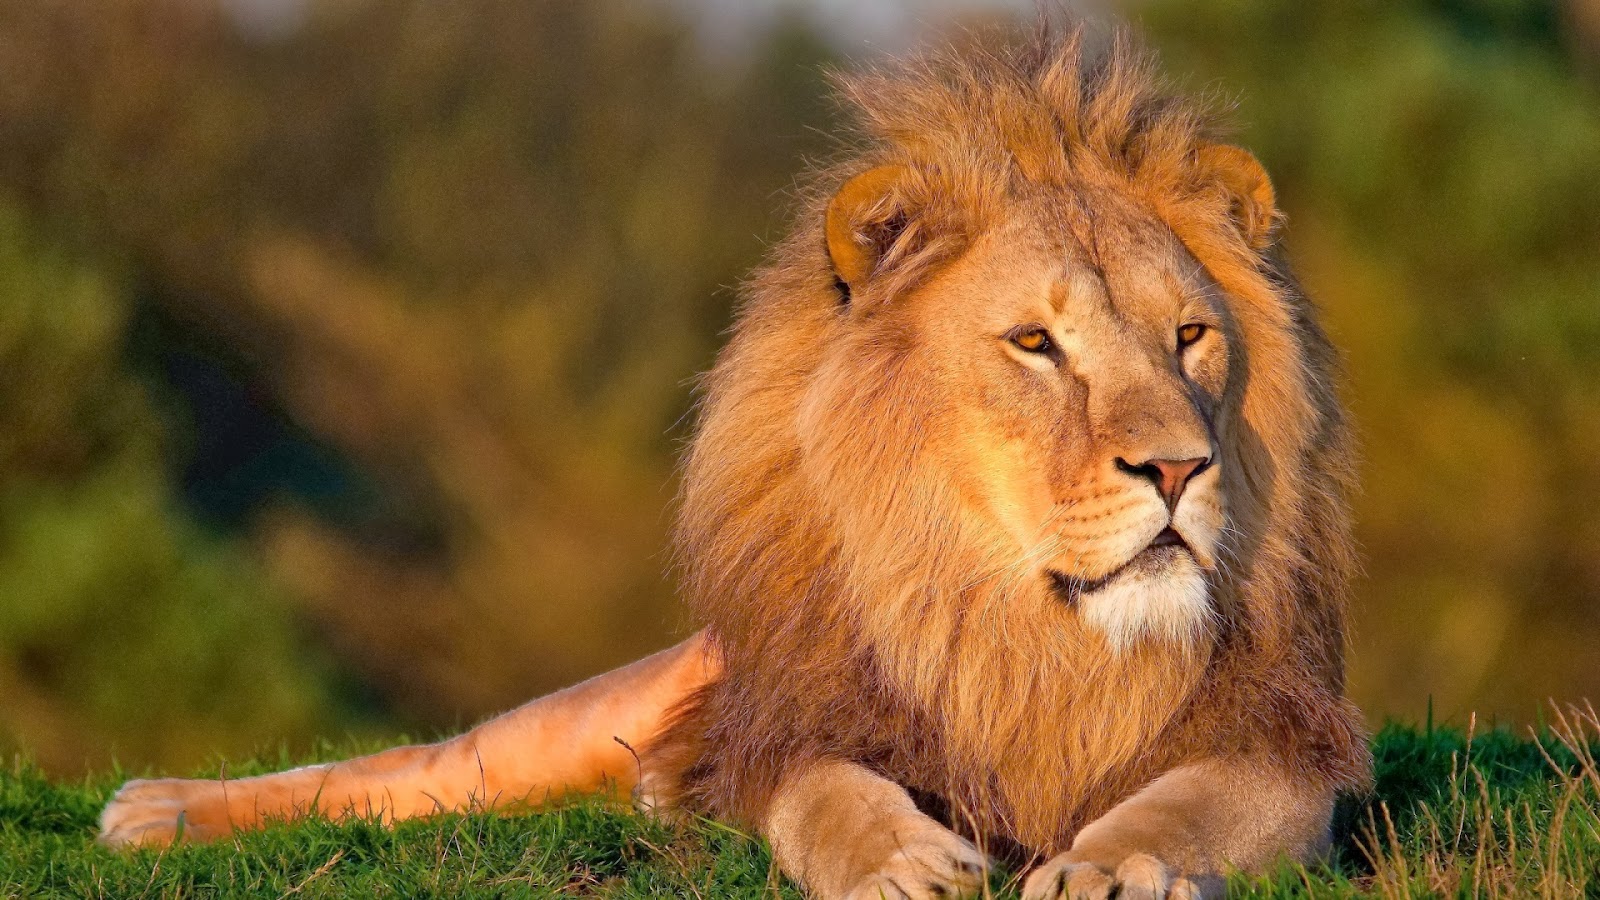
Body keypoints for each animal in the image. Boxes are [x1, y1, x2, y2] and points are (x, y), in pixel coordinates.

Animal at [103, 24, 1376, 890]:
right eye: (1035, 344)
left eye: (1189, 336)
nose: (1177, 469)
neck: (1022, 632)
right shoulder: (789, 729)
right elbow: (828, 796)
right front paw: (902, 862)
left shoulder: (1282, 746)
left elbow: (1192, 804)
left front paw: (1113, 863)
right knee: (415, 770)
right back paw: (154, 810)